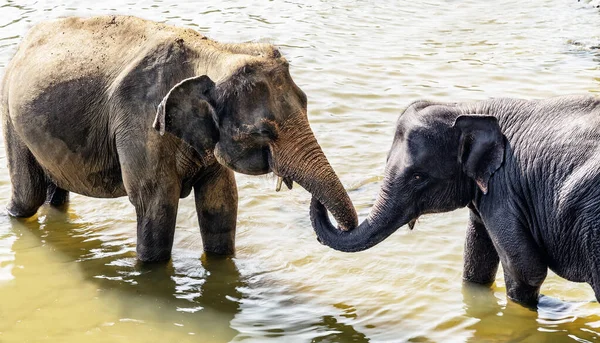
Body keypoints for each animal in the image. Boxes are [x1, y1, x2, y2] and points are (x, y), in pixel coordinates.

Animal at [1, 15, 356, 264]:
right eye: (263, 133)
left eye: (306, 103)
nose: (318, 205)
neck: (217, 51)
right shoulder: (141, 123)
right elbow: (156, 204)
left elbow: (221, 202)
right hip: (9, 111)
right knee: (28, 195)